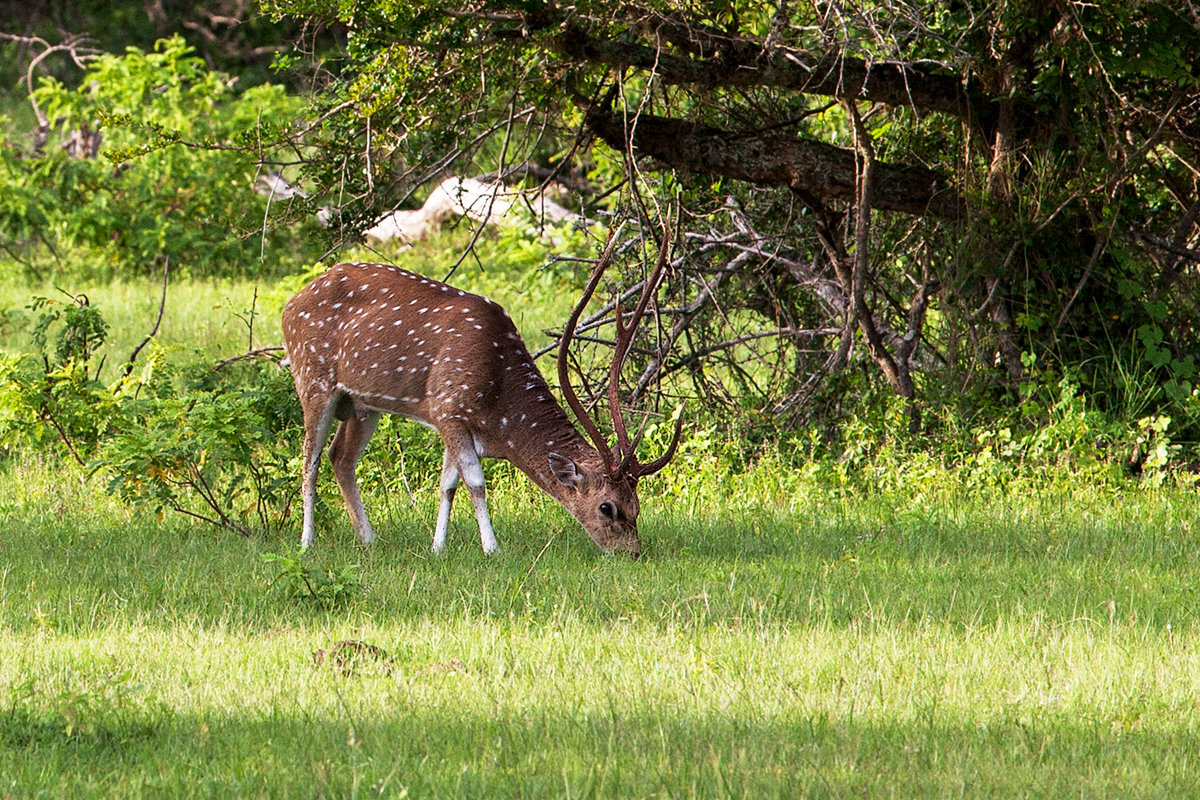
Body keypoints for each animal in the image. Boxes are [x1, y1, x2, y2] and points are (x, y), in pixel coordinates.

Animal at [274, 241, 681, 561]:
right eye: (607, 508)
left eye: (637, 506)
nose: (632, 553)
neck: (497, 409)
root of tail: (289, 304)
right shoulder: (448, 407)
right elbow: (475, 482)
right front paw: (491, 549)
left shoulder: (453, 420)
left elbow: (448, 484)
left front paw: (437, 548)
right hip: (313, 379)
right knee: (309, 460)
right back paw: (307, 542)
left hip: (363, 404)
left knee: (340, 456)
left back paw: (368, 539)